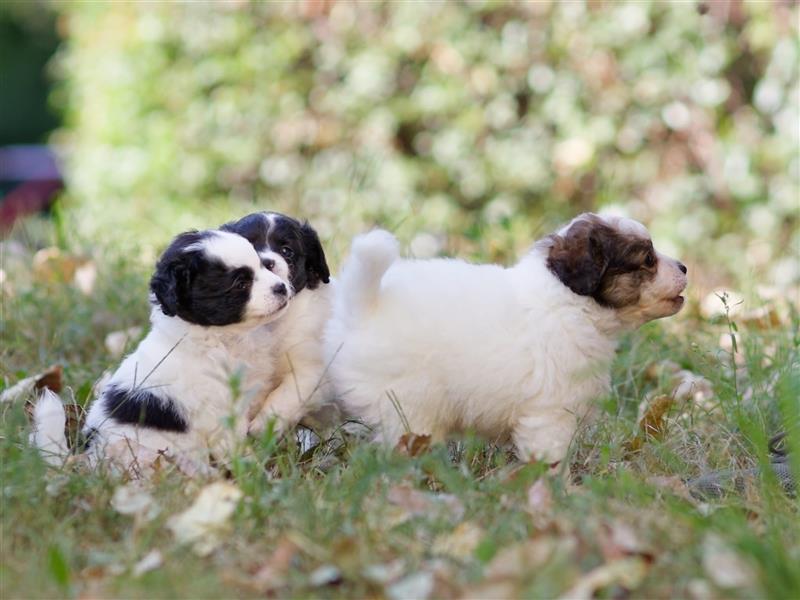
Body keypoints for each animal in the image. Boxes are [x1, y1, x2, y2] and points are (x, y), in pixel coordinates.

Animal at [324, 213, 688, 462]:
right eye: (647, 259)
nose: (685, 267)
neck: (570, 302)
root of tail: (364, 307)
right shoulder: (549, 416)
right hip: (408, 409)